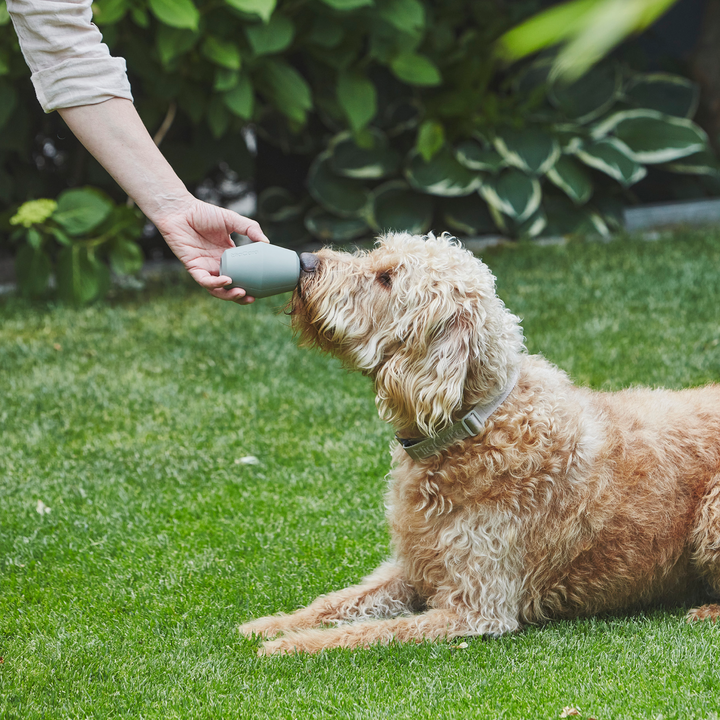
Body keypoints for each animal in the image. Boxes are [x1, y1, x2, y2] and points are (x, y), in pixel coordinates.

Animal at [239, 233, 720, 656]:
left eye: (387, 278)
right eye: (376, 254)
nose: (305, 261)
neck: (472, 430)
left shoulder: (475, 609)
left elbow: (371, 632)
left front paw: (288, 646)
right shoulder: (413, 568)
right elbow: (339, 602)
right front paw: (270, 625)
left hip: (711, 511)